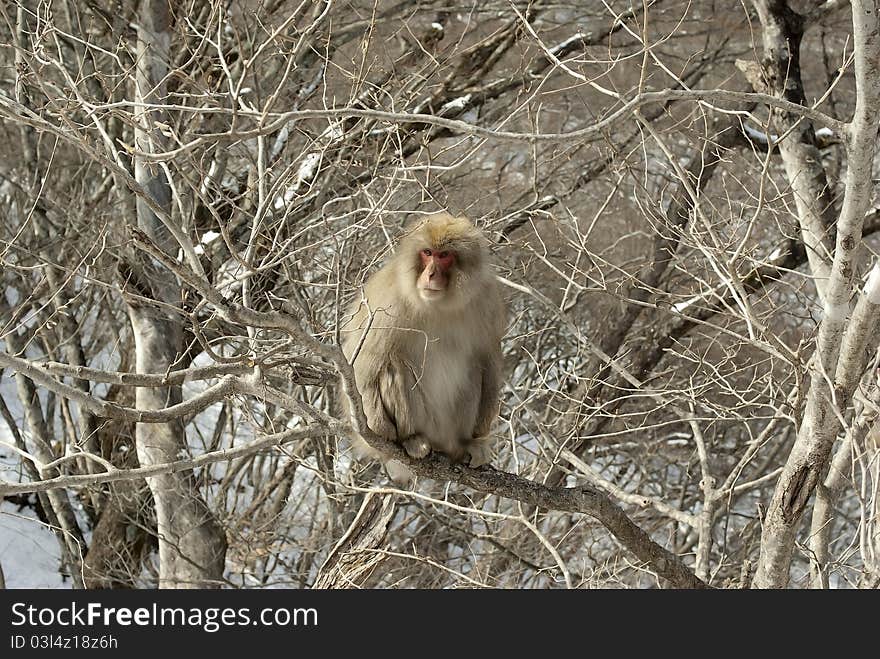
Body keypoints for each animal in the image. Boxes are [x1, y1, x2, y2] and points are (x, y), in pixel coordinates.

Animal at [344, 213, 508, 484]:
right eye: (427, 253)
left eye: (444, 256)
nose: (430, 274)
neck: (439, 305)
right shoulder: (387, 304)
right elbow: (363, 366)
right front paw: (380, 427)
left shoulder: (487, 300)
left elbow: (488, 358)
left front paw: (480, 434)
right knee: (392, 364)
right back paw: (412, 440)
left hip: (449, 429)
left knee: (474, 369)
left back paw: (464, 445)